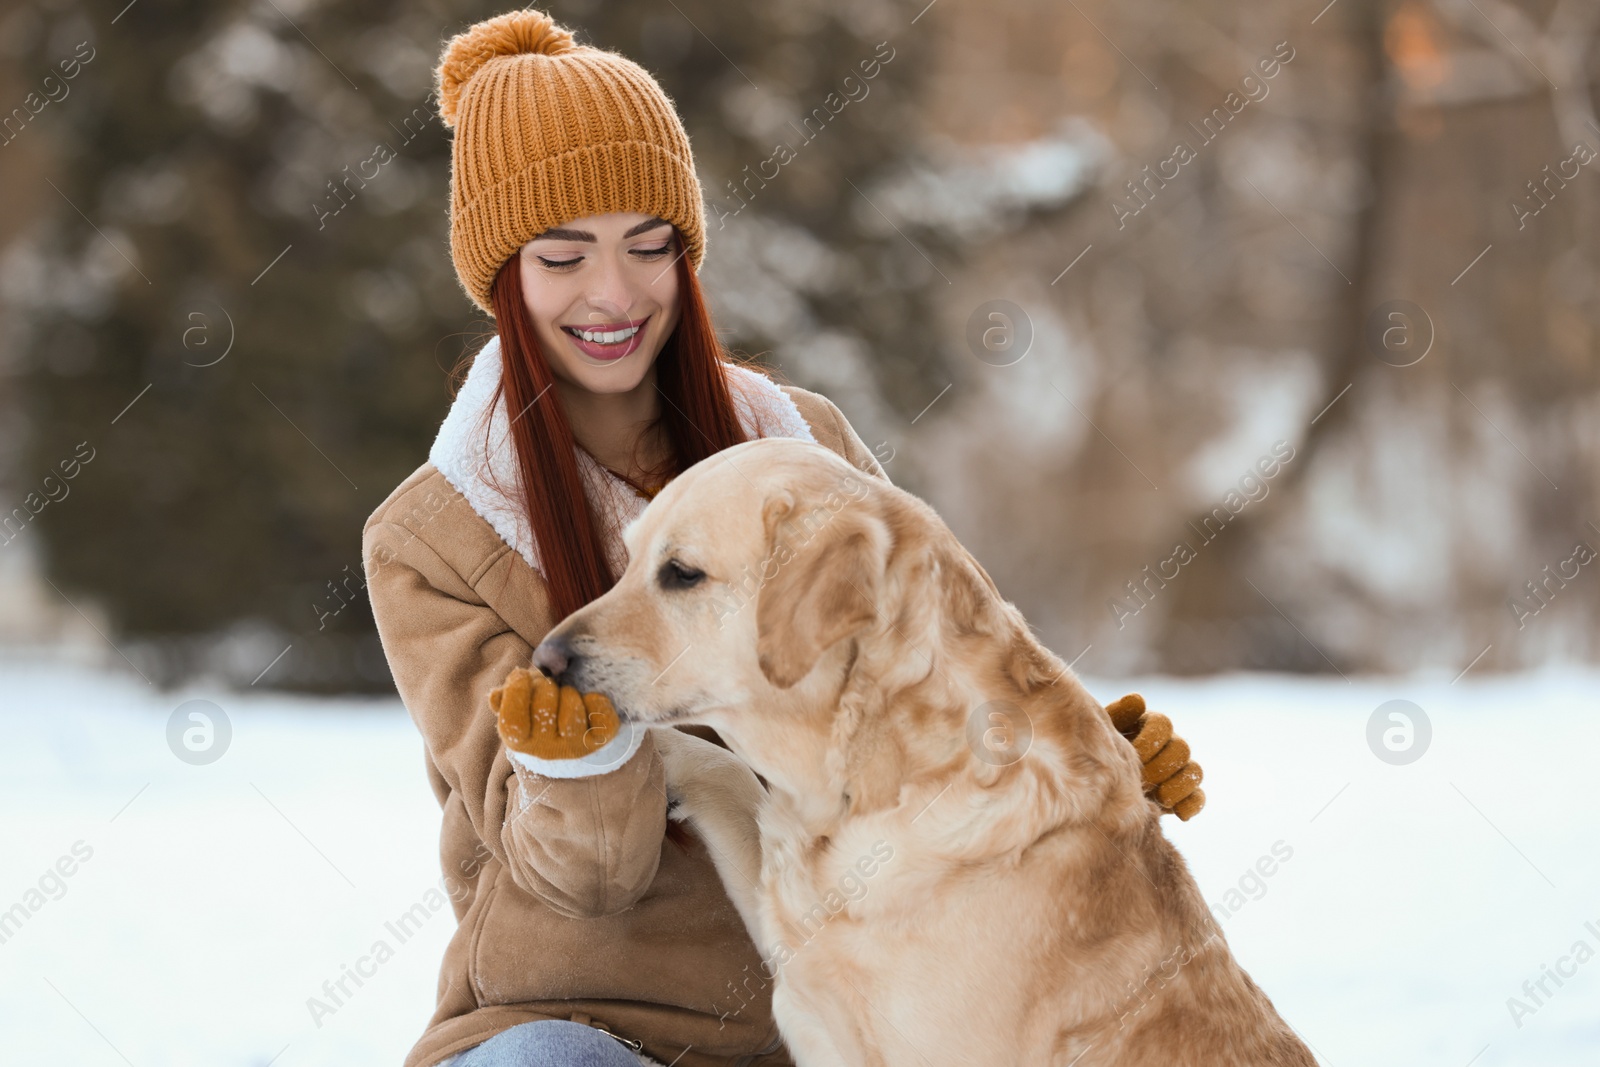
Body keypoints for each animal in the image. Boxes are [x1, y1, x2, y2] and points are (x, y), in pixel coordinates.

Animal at [531, 435, 1318, 1067]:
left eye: (682, 573)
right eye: (629, 559)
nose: (545, 659)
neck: (883, 777)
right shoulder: (804, 961)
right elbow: (729, 775)